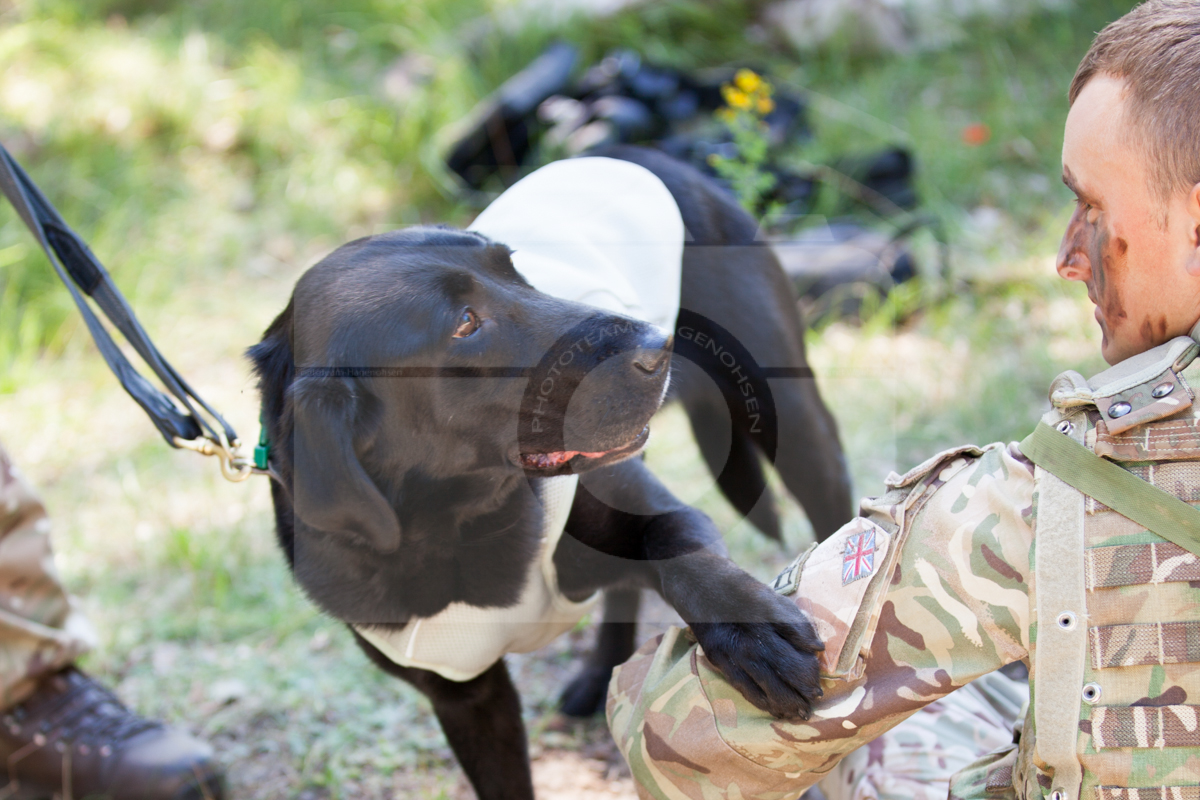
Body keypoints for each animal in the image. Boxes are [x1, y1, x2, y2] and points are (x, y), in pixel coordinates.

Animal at [250, 146, 854, 796]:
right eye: (465, 323)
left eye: (517, 271)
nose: (659, 346)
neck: (455, 521)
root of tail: (645, 152)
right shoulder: (467, 700)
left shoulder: (654, 509)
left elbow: (676, 545)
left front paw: (752, 637)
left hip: (790, 420)